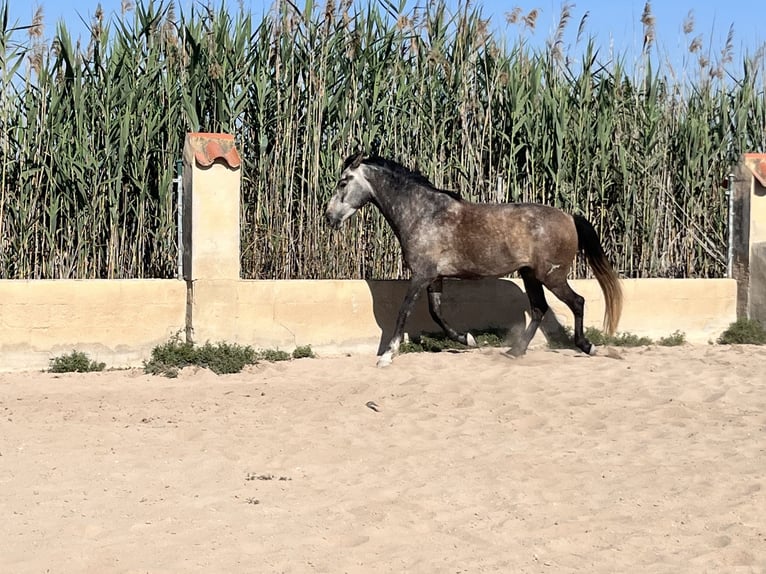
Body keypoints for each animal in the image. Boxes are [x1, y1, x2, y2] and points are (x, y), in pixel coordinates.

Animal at [326, 154, 624, 368]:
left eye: (343, 182)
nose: (329, 217)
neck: (423, 214)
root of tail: (569, 217)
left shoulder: (421, 275)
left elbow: (404, 312)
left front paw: (387, 356)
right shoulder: (435, 277)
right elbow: (436, 314)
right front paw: (468, 340)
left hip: (551, 276)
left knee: (577, 302)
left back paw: (586, 346)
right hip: (530, 275)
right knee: (539, 308)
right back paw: (515, 351)